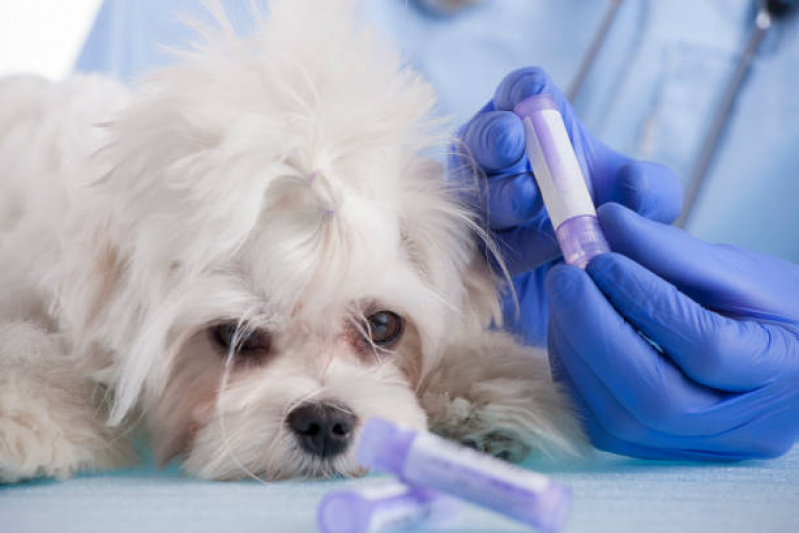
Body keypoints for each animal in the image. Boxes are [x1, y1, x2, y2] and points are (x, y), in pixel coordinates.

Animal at [0, 0, 588, 482]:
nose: (324, 422)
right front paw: (23, 422)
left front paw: (481, 398)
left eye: (382, 326)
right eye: (233, 336)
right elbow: (33, 357)